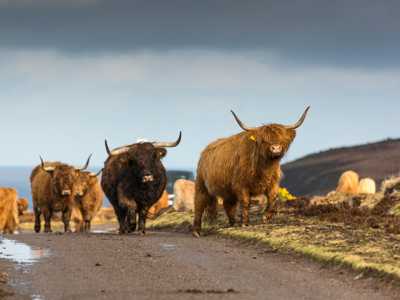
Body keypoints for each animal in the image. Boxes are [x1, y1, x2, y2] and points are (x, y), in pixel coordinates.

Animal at [192, 108, 310, 237]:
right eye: (264, 140)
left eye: (282, 139)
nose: (276, 148)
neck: (264, 168)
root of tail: (205, 150)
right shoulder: (241, 186)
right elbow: (245, 202)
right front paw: (245, 223)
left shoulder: (273, 183)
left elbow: (273, 197)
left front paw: (266, 217)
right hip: (201, 184)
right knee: (199, 204)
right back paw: (197, 231)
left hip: (228, 191)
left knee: (228, 205)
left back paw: (232, 223)